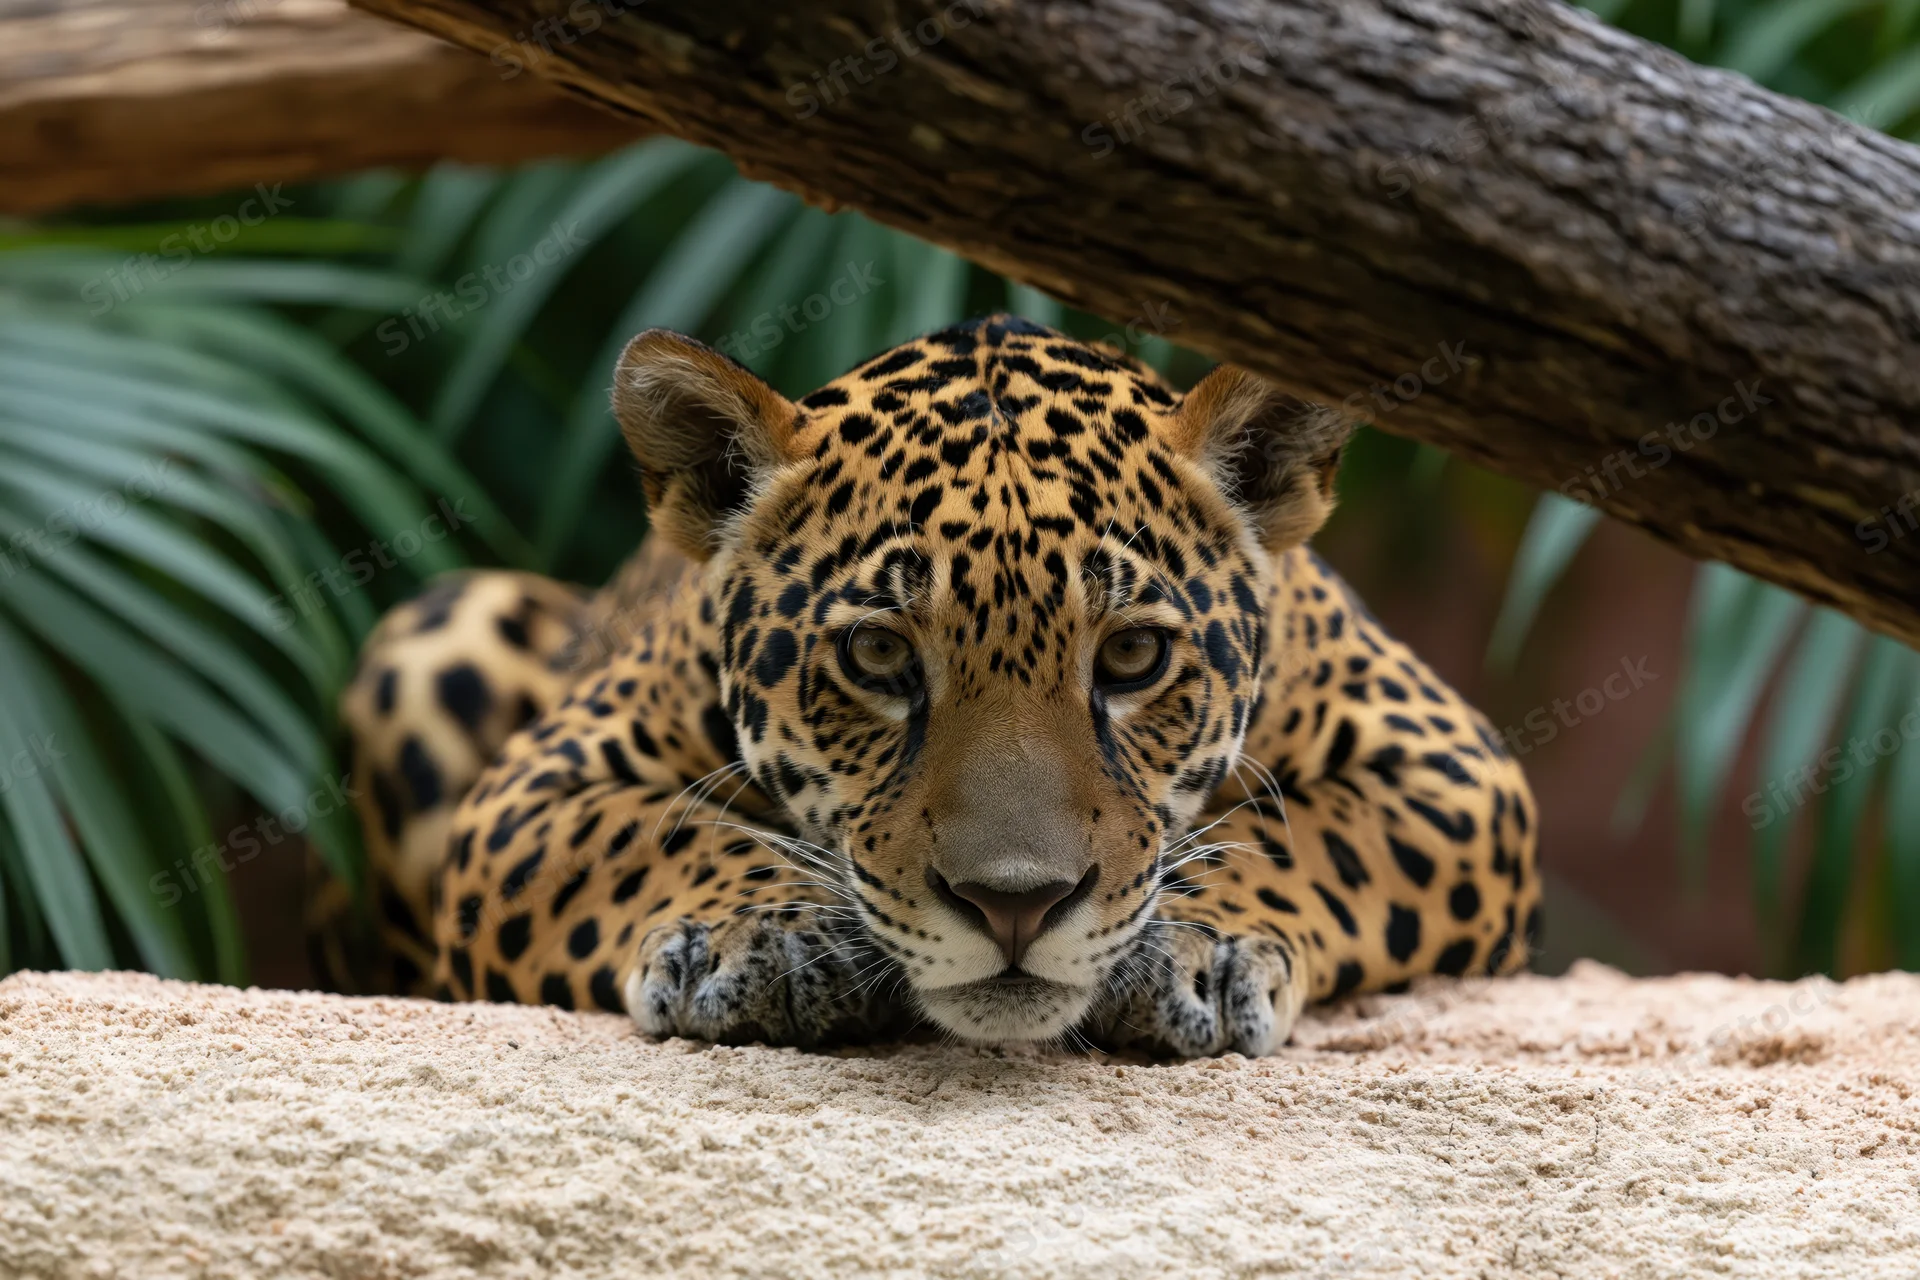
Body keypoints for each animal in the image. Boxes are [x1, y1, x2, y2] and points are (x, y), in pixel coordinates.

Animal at [338, 315, 1541, 1057]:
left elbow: (1295, 842)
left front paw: (1199, 950)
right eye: (878, 657)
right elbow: (660, 835)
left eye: (1133, 659)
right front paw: (763, 937)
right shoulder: (526, 797)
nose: (1016, 905)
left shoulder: (1458, 774)